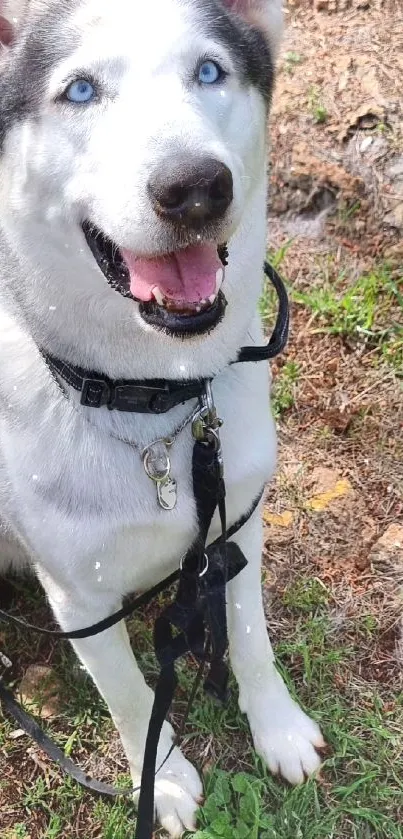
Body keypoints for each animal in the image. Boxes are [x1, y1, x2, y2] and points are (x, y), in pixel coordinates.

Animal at [0, 1, 326, 832]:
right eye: (80, 90)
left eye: (208, 70)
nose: (195, 186)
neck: (153, 397)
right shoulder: (79, 596)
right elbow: (129, 694)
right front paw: (166, 777)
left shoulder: (238, 523)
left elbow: (250, 637)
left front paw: (276, 725)